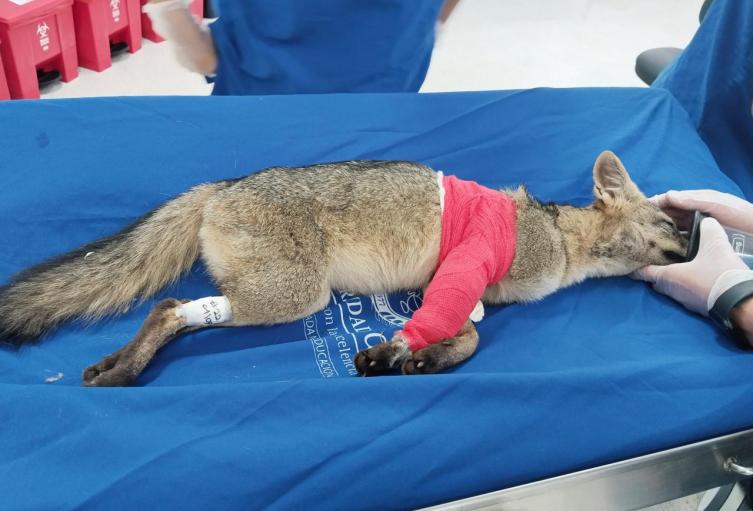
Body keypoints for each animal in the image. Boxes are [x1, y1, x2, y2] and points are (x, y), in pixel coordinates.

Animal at [0, 151, 686, 386]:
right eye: (668, 222)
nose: (696, 234)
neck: (560, 237)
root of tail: (221, 185)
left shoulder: (452, 287)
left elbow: (466, 331)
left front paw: (425, 357)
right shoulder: (466, 265)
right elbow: (459, 331)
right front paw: (397, 353)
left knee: (171, 309)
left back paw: (115, 365)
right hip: (296, 295)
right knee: (169, 308)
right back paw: (126, 369)